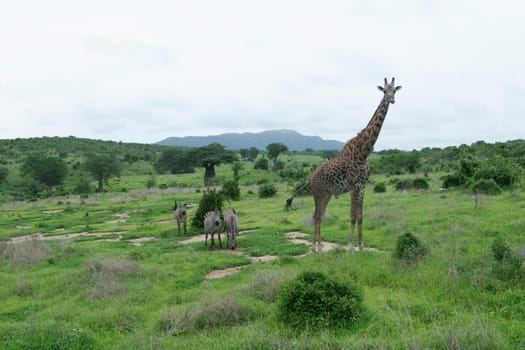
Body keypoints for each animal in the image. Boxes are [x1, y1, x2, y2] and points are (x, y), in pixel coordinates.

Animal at [308, 77, 398, 252]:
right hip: (318, 193)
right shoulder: (353, 185)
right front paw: (350, 246)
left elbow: (360, 216)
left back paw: (319, 246)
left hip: (327, 194)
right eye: (384, 91)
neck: (364, 152)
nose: (391, 100)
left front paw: (361, 246)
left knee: (319, 215)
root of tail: (311, 177)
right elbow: (352, 216)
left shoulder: (362, 186)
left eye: (395, 91)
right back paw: (315, 248)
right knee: (316, 216)